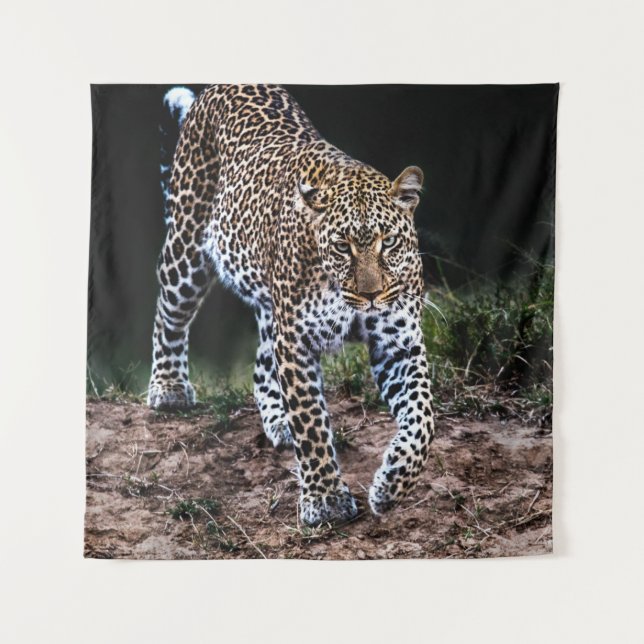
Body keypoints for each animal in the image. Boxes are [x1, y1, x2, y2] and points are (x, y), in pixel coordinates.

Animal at [148, 84, 436, 526]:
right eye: (342, 247)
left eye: (388, 242)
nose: (371, 295)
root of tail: (215, 90)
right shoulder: (298, 342)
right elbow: (312, 424)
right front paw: (326, 499)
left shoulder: (399, 342)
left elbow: (423, 417)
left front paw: (392, 485)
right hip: (187, 250)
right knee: (169, 316)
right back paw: (169, 388)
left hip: (271, 307)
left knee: (262, 363)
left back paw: (277, 419)